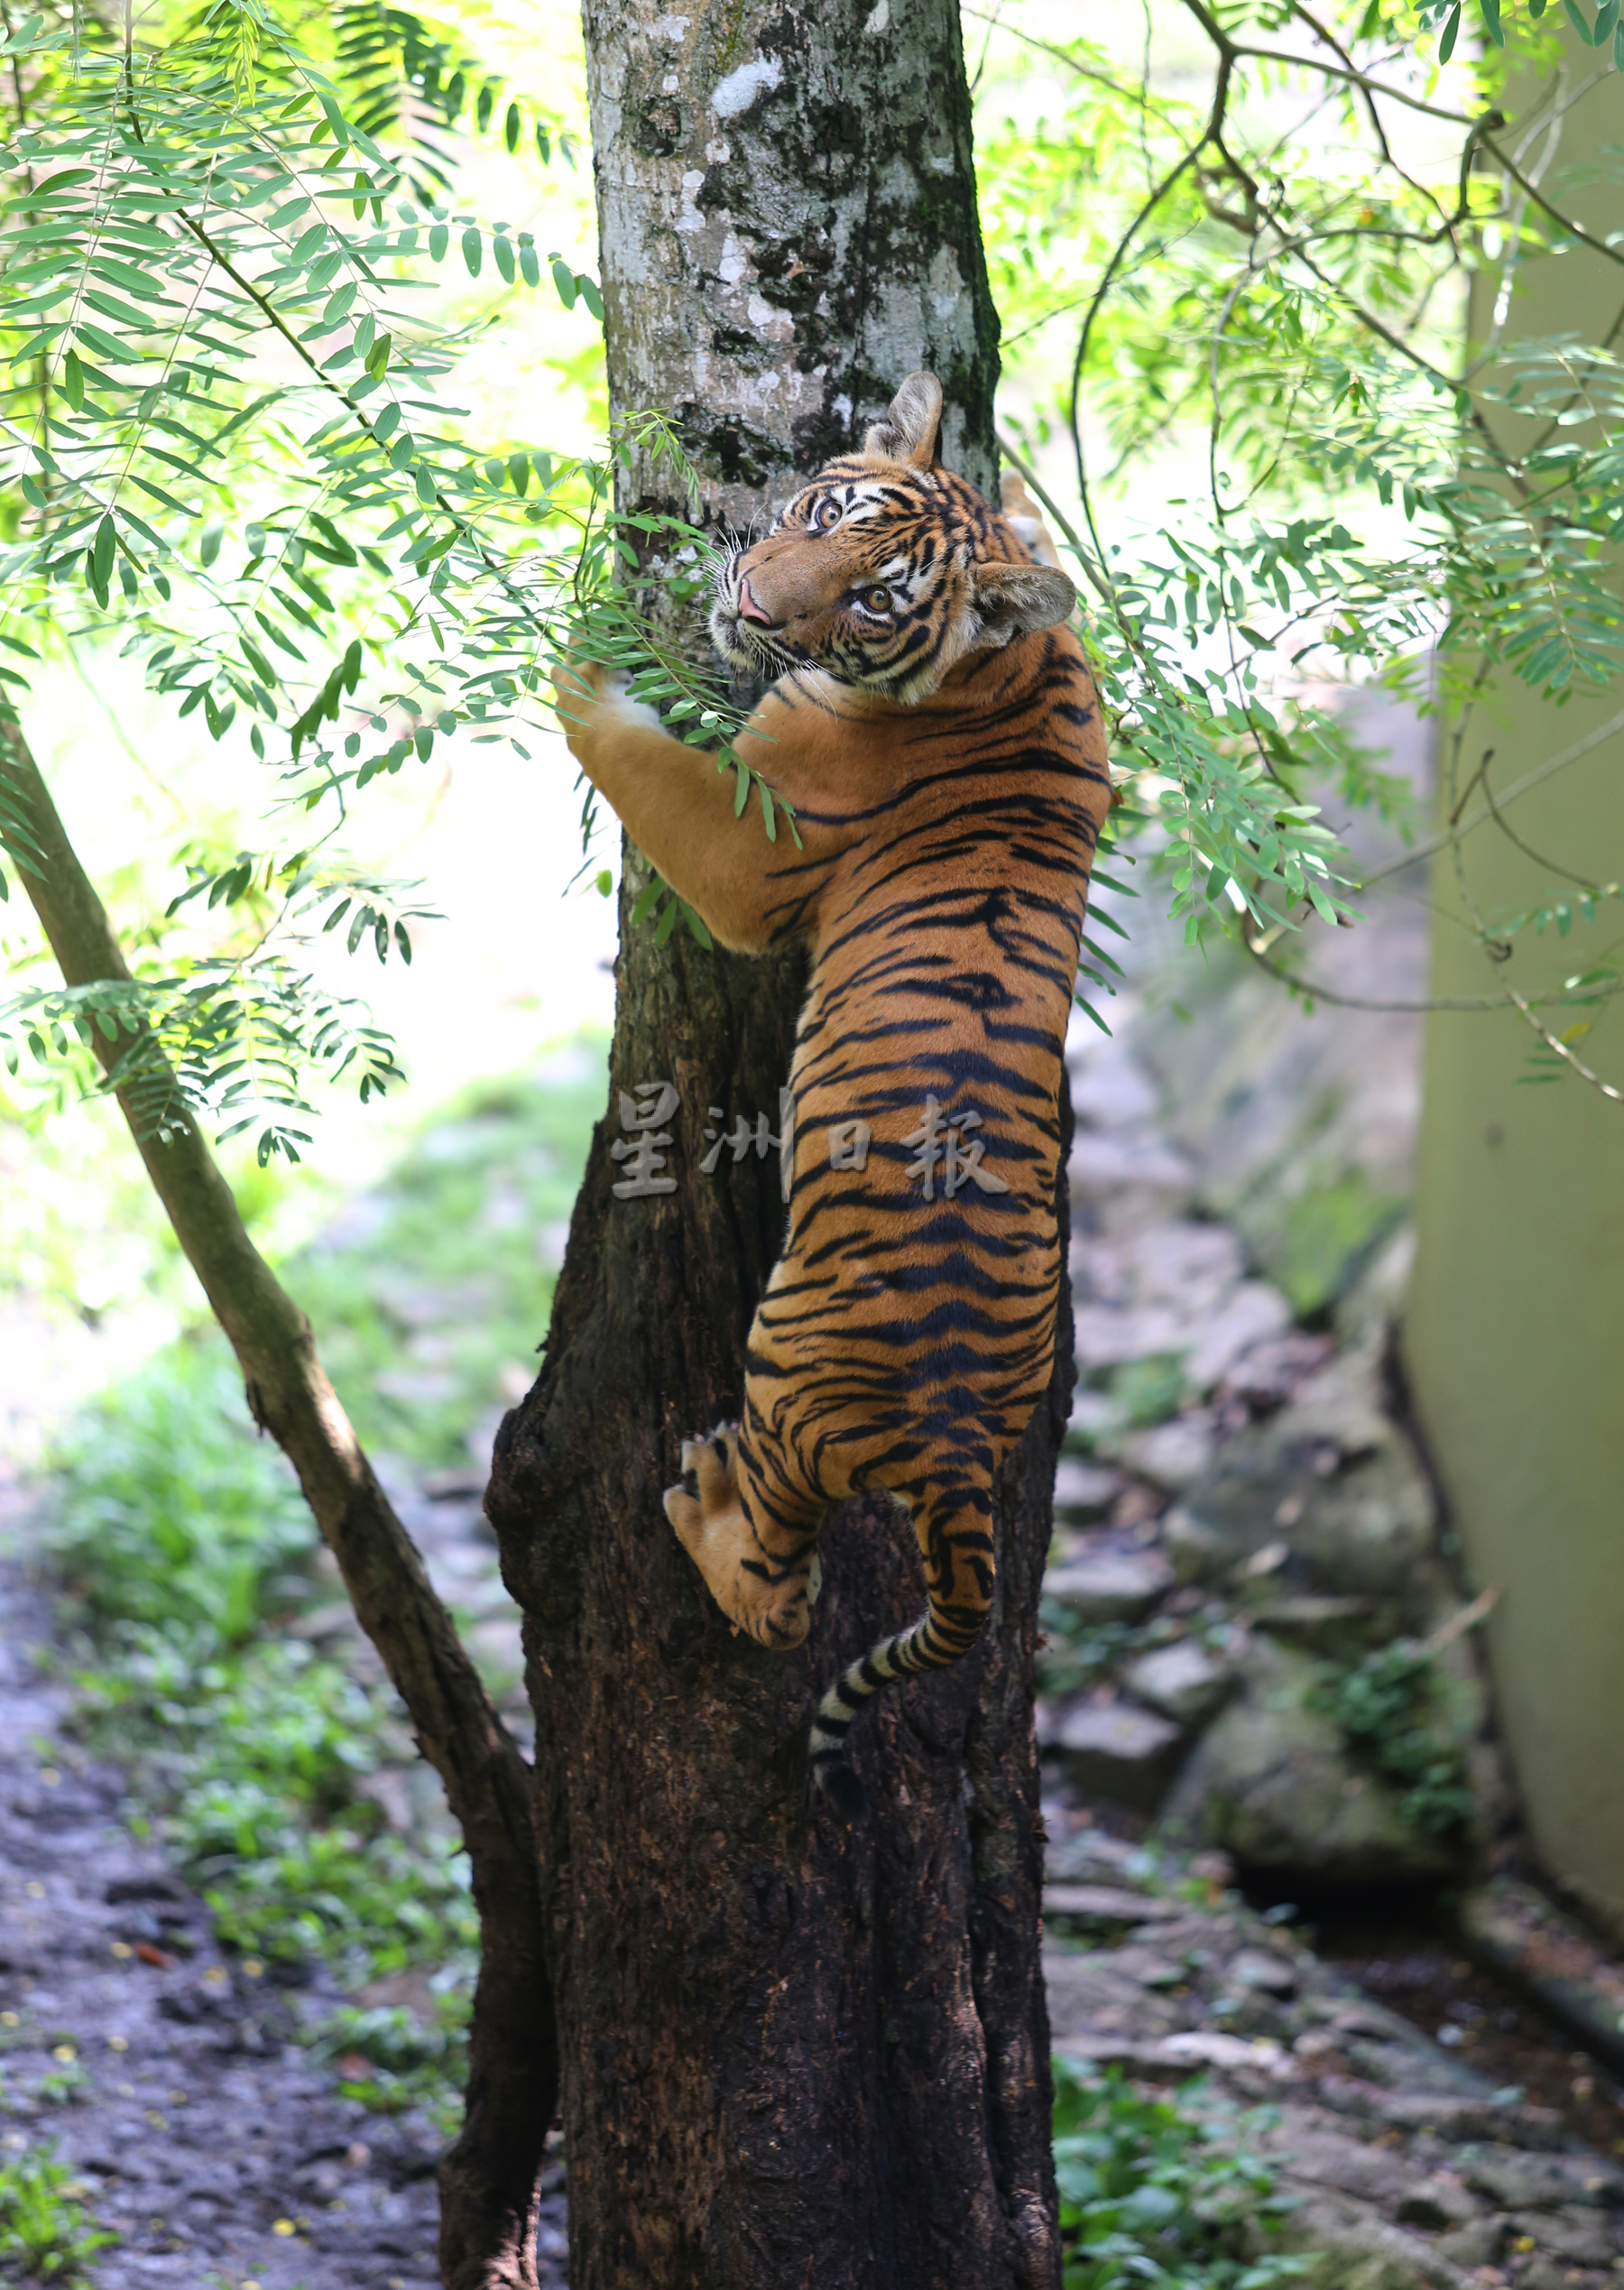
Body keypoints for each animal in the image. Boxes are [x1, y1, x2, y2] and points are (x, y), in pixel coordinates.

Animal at [551, 371, 1108, 1804]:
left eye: (873, 600)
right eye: (819, 514)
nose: (749, 605)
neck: (1013, 664)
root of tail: (961, 1450)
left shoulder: (749, 843)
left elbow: (647, 762)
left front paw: (589, 651)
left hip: (783, 1371)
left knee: (782, 1583)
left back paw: (700, 1505)